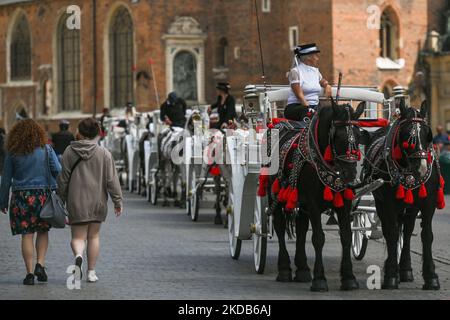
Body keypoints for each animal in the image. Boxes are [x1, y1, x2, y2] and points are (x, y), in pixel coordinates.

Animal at [264, 99, 366, 292]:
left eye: (358, 135)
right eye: (338, 136)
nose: (350, 174)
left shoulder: (344, 202)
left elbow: (346, 236)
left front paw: (349, 278)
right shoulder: (313, 204)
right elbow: (318, 238)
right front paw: (319, 280)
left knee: (301, 229)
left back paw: (302, 270)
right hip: (275, 196)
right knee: (280, 227)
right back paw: (285, 270)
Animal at [364, 98, 442, 290]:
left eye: (428, 134)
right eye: (406, 134)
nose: (421, 169)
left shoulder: (428, 203)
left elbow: (426, 235)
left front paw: (431, 277)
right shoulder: (389, 204)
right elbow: (392, 233)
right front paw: (391, 275)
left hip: (411, 207)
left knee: (407, 231)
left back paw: (405, 270)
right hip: (380, 203)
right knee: (389, 230)